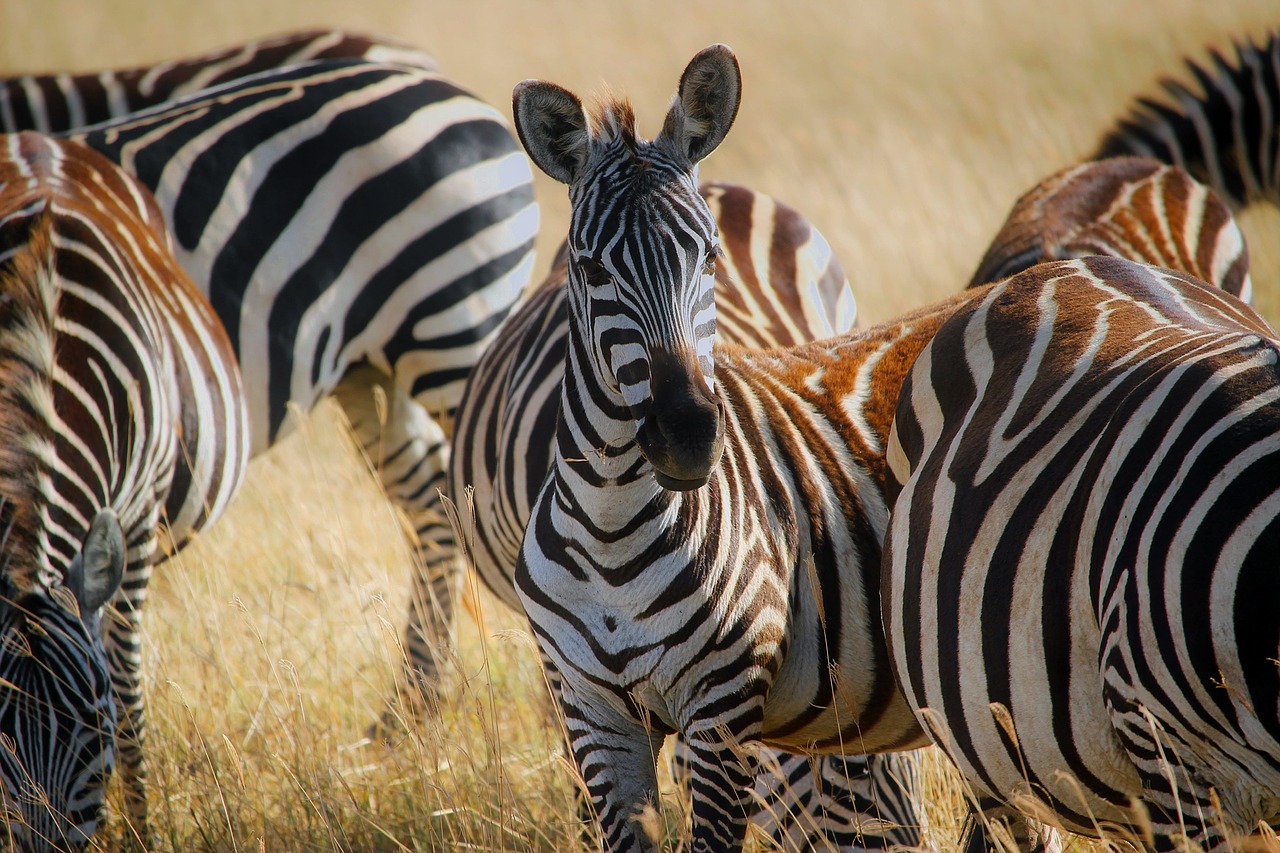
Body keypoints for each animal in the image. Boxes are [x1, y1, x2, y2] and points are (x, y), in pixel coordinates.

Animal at [0, 129, 250, 845]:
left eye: (94, 727)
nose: (45, 847)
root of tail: (35, 139)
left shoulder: (137, 522)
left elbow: (132, 685)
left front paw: (143, 833)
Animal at [506, 48, 942, 850]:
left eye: (709, 258)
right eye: (591, 268)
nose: (687, 436)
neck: (611, 526)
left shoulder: (721, 712)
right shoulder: (592, 714)